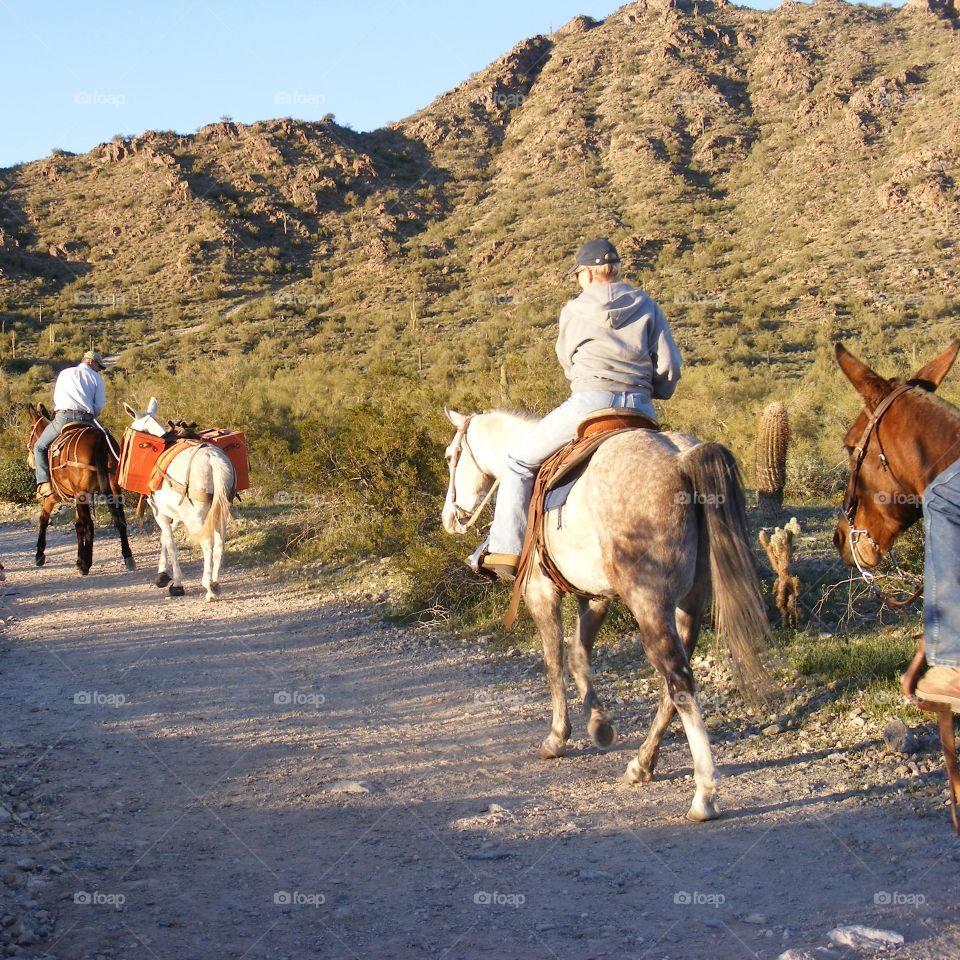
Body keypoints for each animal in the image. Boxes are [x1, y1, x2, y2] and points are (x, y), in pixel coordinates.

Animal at [26, 404, 135, 575]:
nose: (29, 461)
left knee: (90, 524)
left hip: (82, 494)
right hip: (113, 488)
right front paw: (79, 559)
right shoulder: (77, 497)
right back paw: (128, 556)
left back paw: (86, 565)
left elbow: (44, 519)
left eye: (31, 429)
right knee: (120, 520)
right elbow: (78, 525)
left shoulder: (53, 496)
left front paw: (39, 555)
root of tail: (99, 439)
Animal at [124, 399, 236, 602]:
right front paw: (162, 575)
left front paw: (176, 583)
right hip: (220, 510)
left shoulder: (160, 513)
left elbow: (170, 543)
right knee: (219, 543)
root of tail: (212, 458)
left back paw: (208, 586)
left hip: (197, 516)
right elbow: (164, 538)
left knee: (208, 544)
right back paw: (215, 584)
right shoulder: (174, 514)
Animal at [442, 408, 772, 822]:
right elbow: (580, 656)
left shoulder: (539, 591)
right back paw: (642, 765)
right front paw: (599, 724)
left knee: (677, 680)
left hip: (650, 604)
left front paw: (557, 737)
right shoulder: (597, 596)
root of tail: (681, 459)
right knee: (673, 685)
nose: (449, 518)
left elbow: (554, 660)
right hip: (688, 606)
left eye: (450, 457)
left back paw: (704, 795)